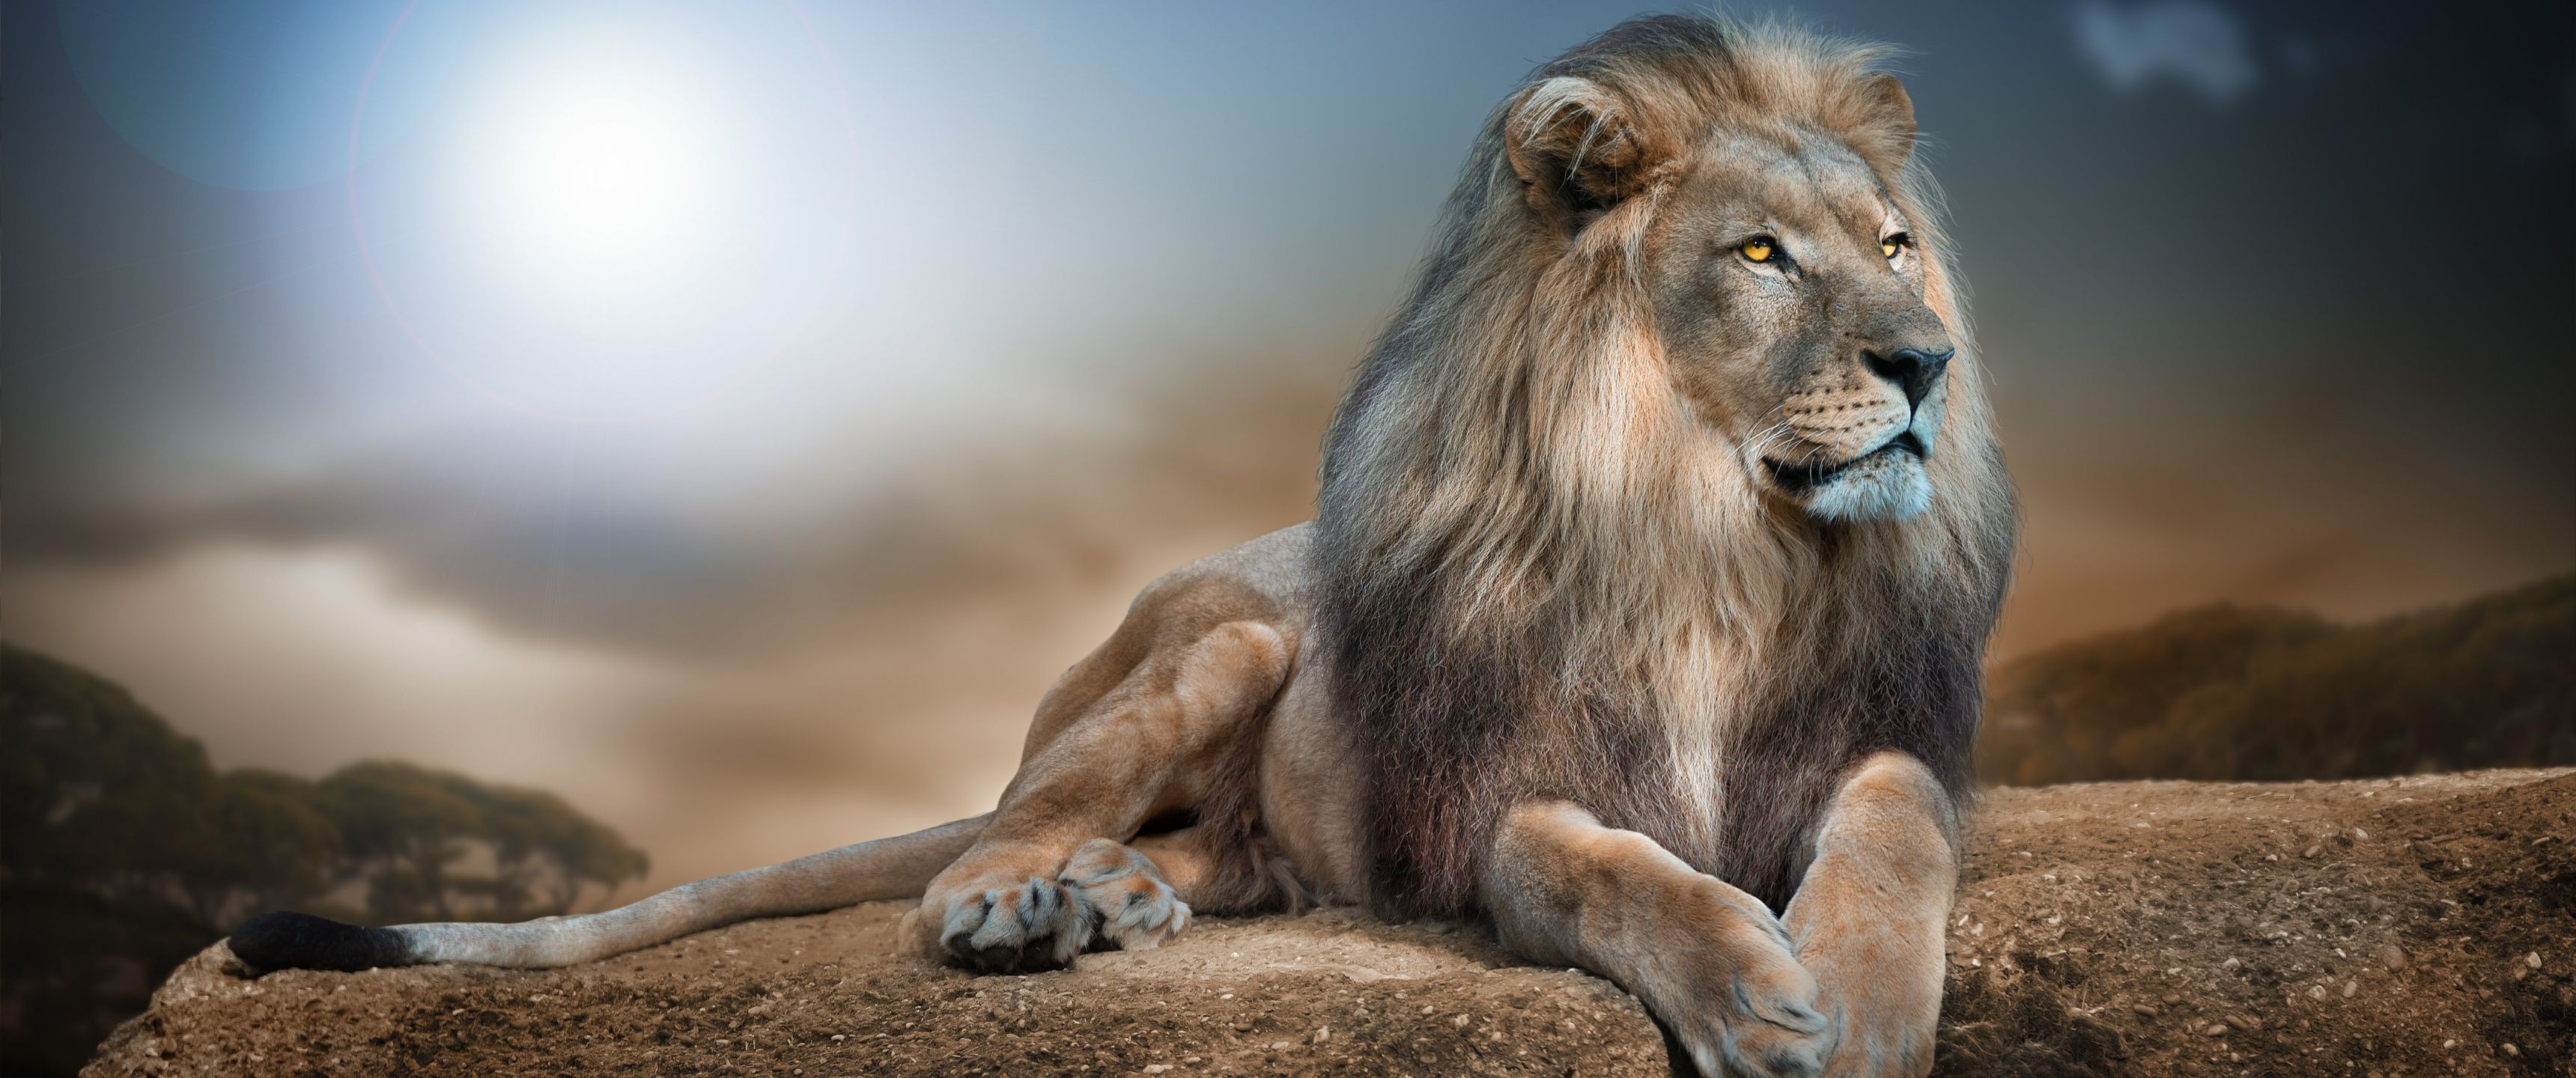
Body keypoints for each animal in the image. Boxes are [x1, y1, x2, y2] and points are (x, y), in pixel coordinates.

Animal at [231, 16, 2014, 1077]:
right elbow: (1598, 867)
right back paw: (1023, 906)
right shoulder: (1490, 796)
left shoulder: (1876, 733)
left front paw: (1856, 1000)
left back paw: (1116, 899)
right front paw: (1754, 990)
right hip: (1228, 640)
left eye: (1896, 244)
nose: (1929, 359)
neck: (1714, 544)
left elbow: (1896, 823)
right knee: (976, 846)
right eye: (1763, 257)